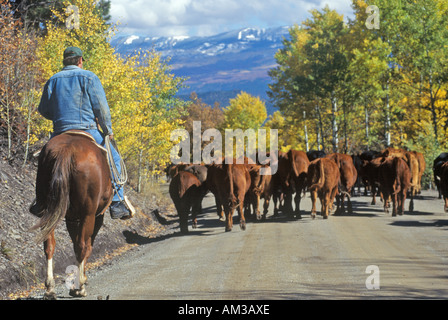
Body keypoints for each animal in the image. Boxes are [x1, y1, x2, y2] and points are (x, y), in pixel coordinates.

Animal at [30, 131, 113, 300]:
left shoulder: (71, 218)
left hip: (48, 211)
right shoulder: (96, 216)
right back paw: (80, 288)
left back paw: (50, 288)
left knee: (49, 245)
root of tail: (67, 150)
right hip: (88, 214)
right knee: (82, 245)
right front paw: (81, 279)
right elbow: (87, 245)